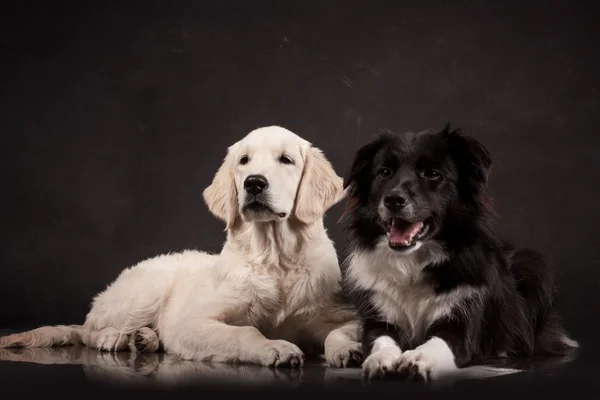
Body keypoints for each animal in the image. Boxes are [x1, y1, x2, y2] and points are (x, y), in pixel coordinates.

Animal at [1, 126, 360, 368]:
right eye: (244, 161)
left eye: (286, 160)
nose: (254, 183)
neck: (275, 259)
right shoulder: (192, 323)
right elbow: (245, 333)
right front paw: (277, 348)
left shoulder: (339, 313)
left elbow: (340, 332)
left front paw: (345, 350)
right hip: (144, 291)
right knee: (87, 329)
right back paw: (114, 337)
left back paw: (144, 338)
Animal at [338, 124, 576, 382]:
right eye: (384, 172)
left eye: (432, 174)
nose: (393, 200)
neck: (413, 262)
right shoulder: (377, 319)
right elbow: (379, 340)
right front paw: (380, 359)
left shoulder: (461, 325)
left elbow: (438, 343)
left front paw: (418, 357)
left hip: (533, 264)